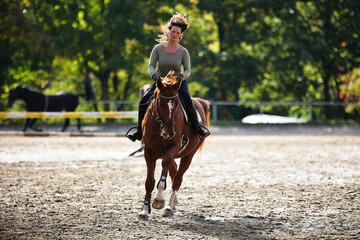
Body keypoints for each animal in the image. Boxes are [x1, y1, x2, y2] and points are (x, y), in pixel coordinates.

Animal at [138, 72, 211, 220]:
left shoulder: (172, 148)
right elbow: (149, 182)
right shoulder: (148, 152)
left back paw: (168, 207)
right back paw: (173, 203)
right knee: (173, 172)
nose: (169, 133)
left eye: (177, 104)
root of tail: (200, 102)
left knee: (177, 178)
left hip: (188, 155)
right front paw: (144, 210)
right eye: (160, 103)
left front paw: (159, 200)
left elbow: (166, 168)